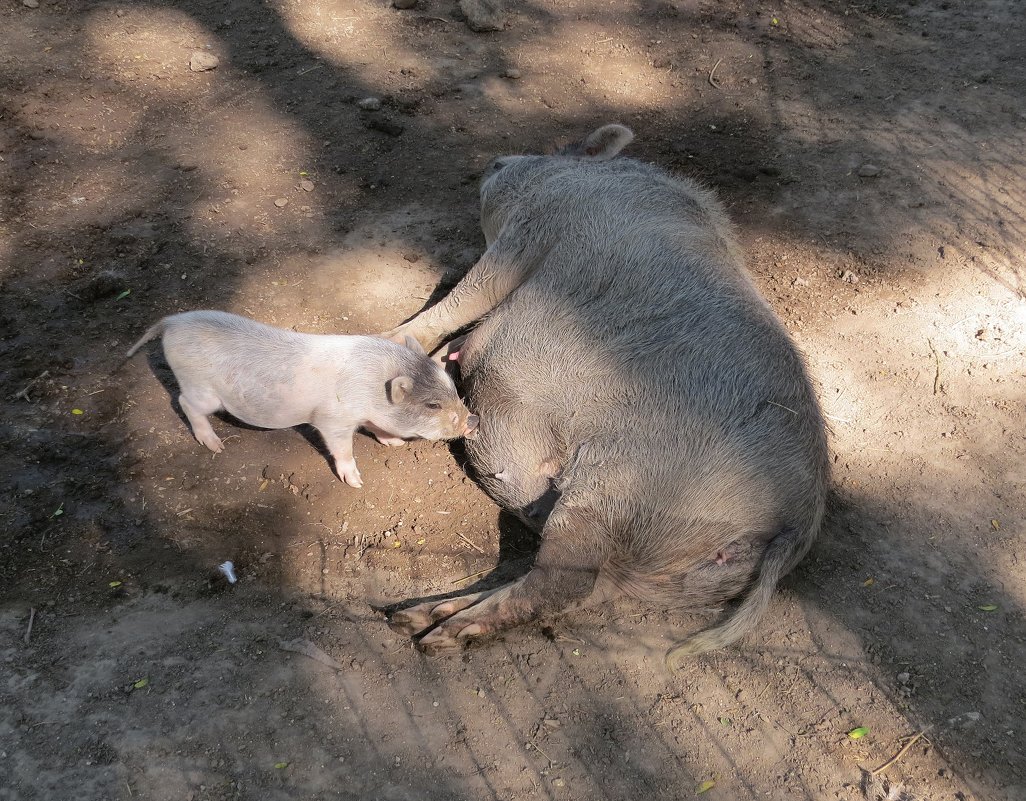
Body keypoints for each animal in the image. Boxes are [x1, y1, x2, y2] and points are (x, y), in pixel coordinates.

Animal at [127, 311, 476, 488]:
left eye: (451, 387)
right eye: (432, 405)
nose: (473, 419)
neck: (371, 388)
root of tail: (173, 322)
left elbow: (379, 428)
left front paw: (396, 444)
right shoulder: (332, 421)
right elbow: (342, 448)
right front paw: (356, 483)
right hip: (202, 390)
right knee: (184, 403)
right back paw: (215, 446)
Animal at [385, 122, 824, 668]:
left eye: (556, 150)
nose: (495, 161)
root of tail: (794, 524)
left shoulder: (530, 233)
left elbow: (459, 302)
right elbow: (455, 341)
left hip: (612, 495)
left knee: (559, 584)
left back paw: (437, 635)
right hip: (638, 564)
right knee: (575, 590)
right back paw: (412, 618)